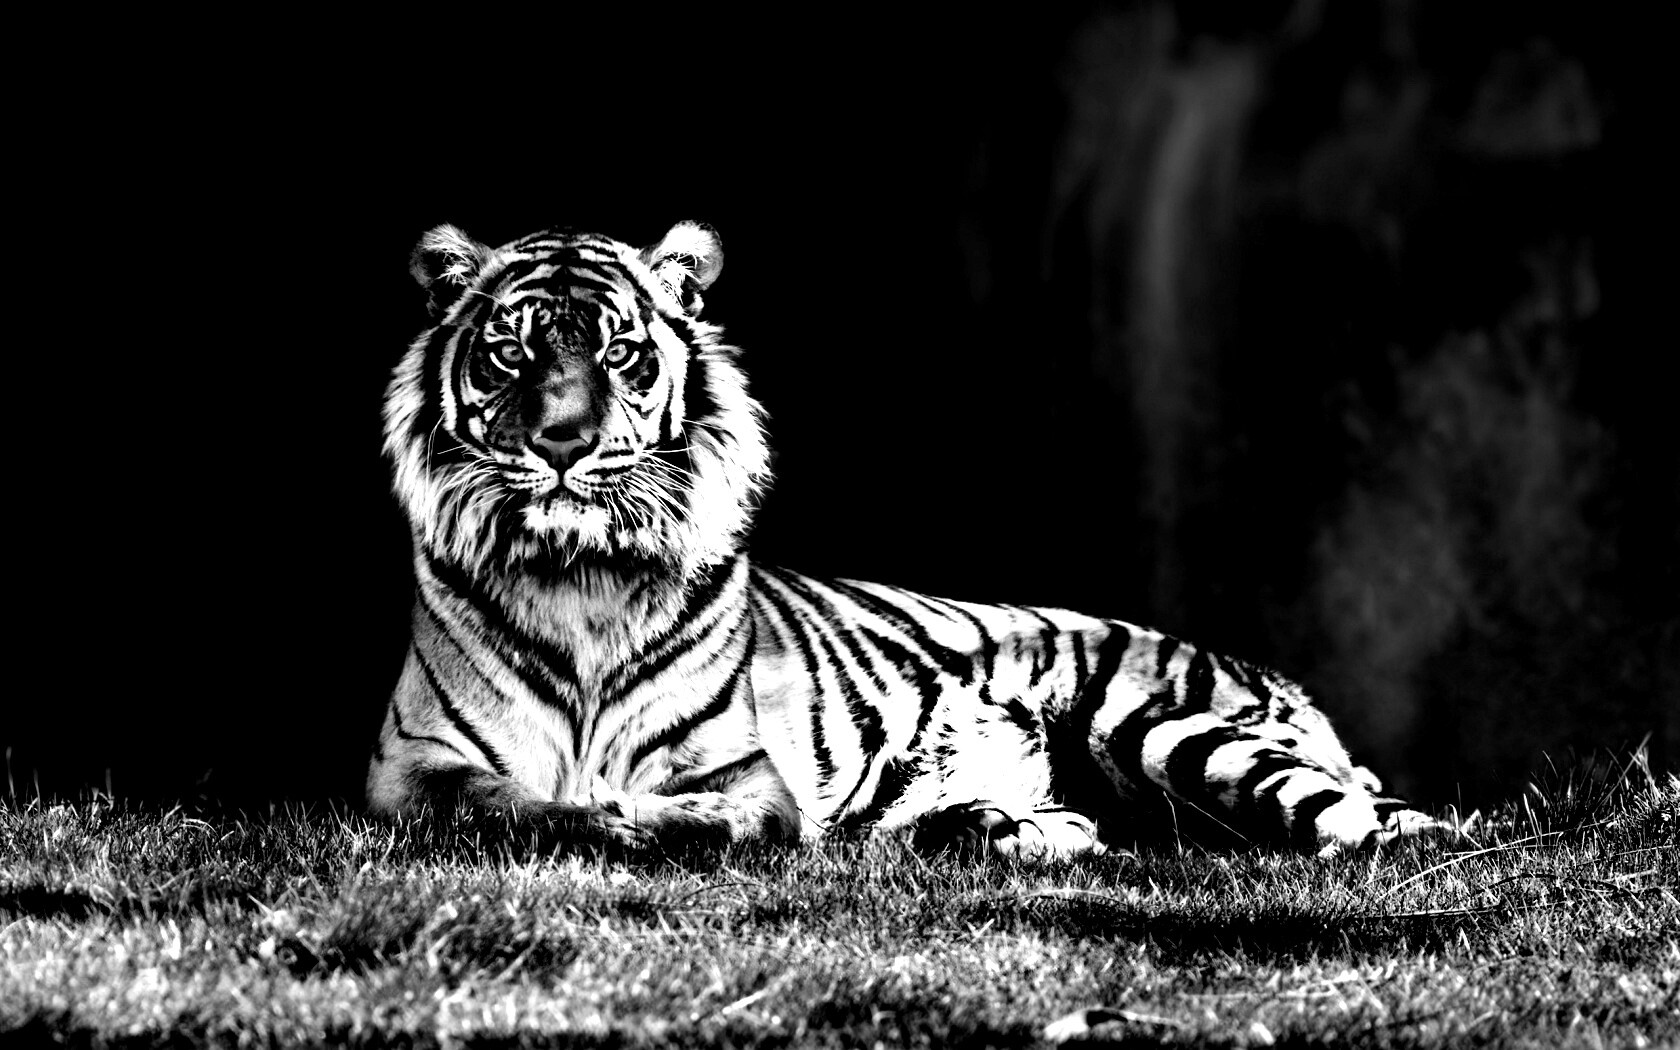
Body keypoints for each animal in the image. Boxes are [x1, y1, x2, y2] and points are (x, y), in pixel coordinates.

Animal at [367, 220, 1445, 857]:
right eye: (511, 354)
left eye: (621, 353)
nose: (563, 442)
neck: (579, 578)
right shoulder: (410, 768)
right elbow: (501, 802)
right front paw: (592, 816)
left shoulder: (741, 774)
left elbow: (699, 815)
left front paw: (635, 822)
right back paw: (1007, 827)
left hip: (1167, 727)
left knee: (1368, 825)